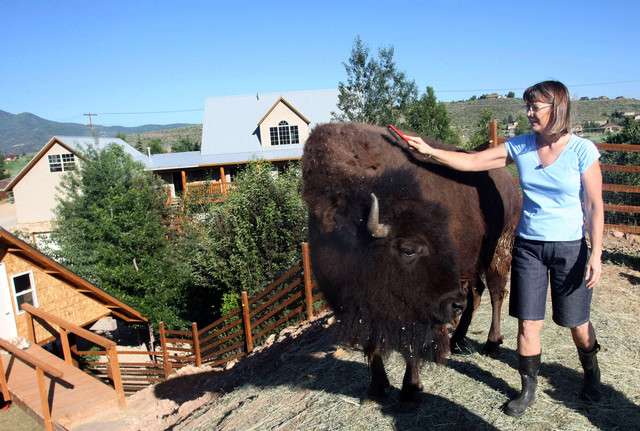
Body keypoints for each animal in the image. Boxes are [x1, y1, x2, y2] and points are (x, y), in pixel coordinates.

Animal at [302, 123, 520, 401]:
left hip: (498, 249)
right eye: (408, 250)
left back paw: (492, 343)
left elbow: (412, 343)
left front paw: (410, 387)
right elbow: (371, 342)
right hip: (471, 264)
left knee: (496, 292)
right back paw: (457, 340)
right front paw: (378, 386)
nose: (453, 304)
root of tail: (507, 181)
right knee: (476, 294)